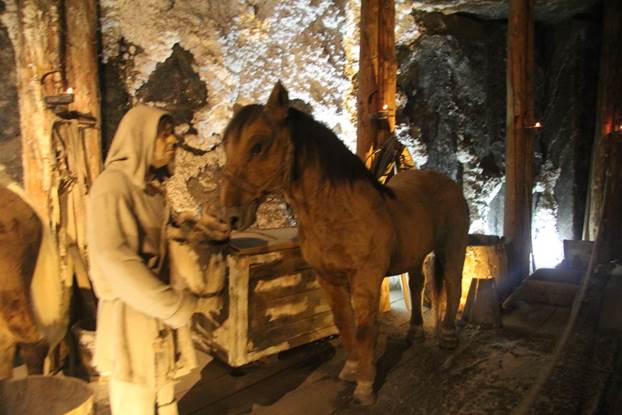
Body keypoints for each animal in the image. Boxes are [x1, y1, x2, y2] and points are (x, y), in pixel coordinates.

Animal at [220, 82, 469, 405]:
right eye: (226, 146)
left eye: (257, 146)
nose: (230, 215)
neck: (340, 211)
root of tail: (445, 182)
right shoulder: (329, 278)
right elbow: (344, 322)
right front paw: (351, 369)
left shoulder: (366, 278)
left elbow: (365, 329)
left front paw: (365, 386)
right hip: (416, 256)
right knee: (417, 285)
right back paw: (415, 332)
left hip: (452, 247)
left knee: (453, 283)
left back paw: (449, 337)